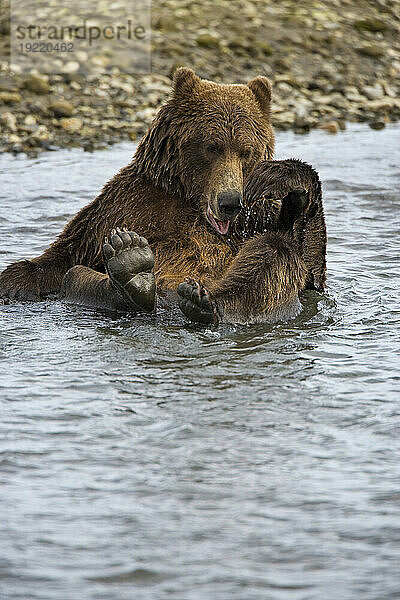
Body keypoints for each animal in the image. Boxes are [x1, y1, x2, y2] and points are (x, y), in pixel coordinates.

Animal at [0, 67, 324, 324]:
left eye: (246, 150)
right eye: (212, 146)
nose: (230, 203)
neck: (190, 201)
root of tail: (167, 305)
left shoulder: (258, 216)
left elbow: (309, 268)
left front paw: (284, 177)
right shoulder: (122, 205)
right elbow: (62, 256)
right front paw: (14, 282)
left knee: (274, 254)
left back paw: (202, 302)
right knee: (75, 275)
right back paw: (132, 269)